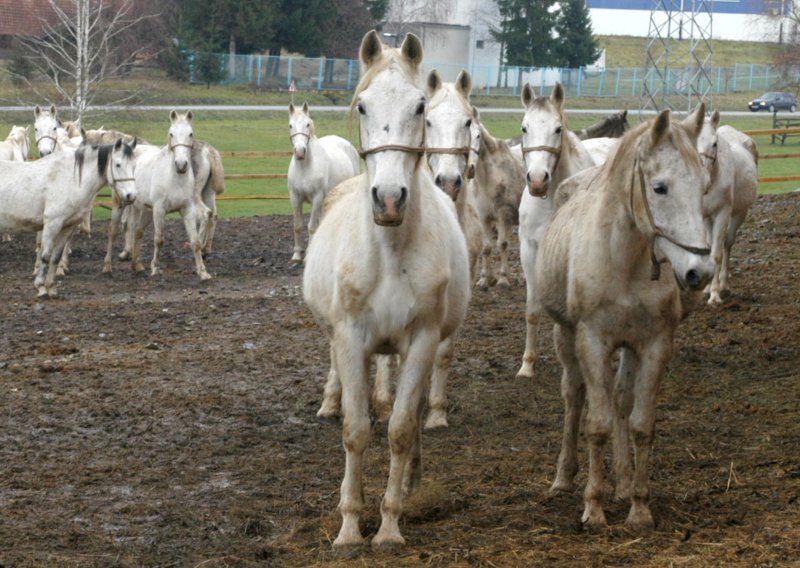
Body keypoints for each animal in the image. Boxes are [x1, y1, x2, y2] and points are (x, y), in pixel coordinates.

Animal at [0, 136, 137, 298]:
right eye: (118, 164)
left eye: (134, 166)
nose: (131, 195)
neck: (69, 180)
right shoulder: (52, 224)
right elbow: (45, 256)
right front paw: (41, 287)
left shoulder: (67, 226)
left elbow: (56, 257)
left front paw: (51, 287)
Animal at [288, 101, 360, 262]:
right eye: (290, 125)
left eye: (307, 124)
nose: (300, 152)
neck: (305, 167)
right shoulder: (295, 197)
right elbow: (297, 226)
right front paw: (296, 254)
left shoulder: (317, 197)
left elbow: (311, 227)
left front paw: (307, 256)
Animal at [304, 31, 472, 552]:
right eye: (362, 105)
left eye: (419, 107)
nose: (390, 198)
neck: (390, 250)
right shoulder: (349, 337)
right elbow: (356, 431)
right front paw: (349, 526)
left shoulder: (421, 340)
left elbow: (399, 428)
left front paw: (391, 524)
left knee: (409, 413)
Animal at [516, 82, 596, 380]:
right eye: (524, 127)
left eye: (558, 129)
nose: (538, 180)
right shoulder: (529, 250)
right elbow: (532, 309)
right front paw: (527, 364)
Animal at [536, 108, 712, 532]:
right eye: (660, 188)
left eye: (704, 187)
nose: (700, 272)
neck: (624, 262)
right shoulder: (592, 341)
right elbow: (596, 425)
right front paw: (593, 509)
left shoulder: (654, 345)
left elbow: (640, 424)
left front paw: (639, 506)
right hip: (565, 336)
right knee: (574, 396)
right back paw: (564, 478)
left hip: (628, 347)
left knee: (619, 399)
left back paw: (624, 481)